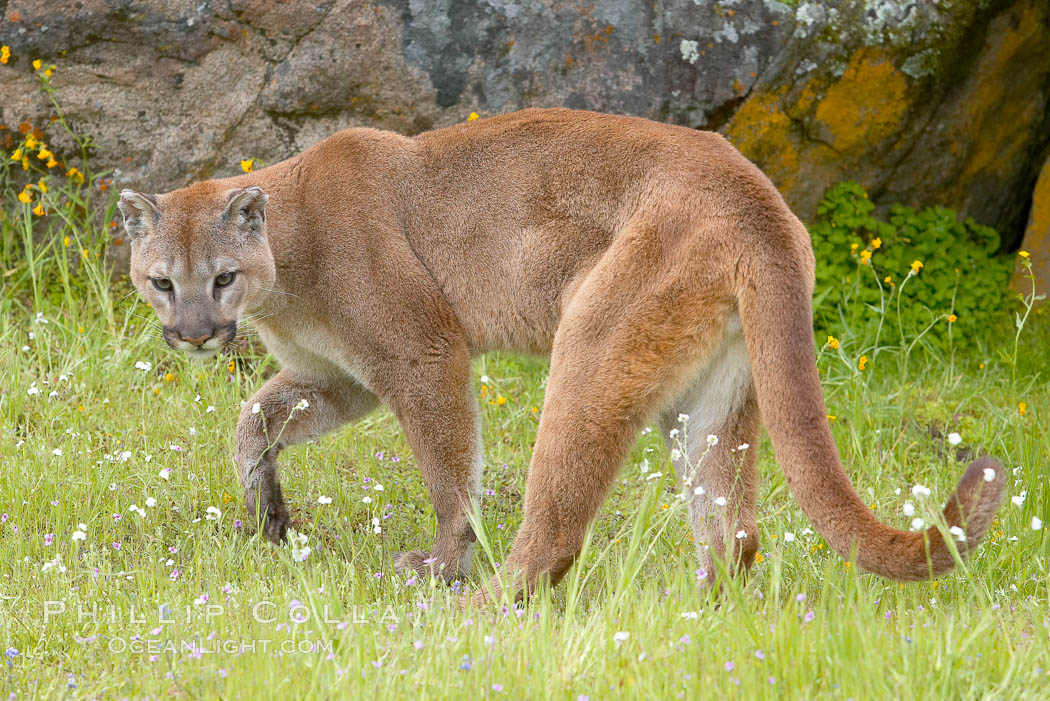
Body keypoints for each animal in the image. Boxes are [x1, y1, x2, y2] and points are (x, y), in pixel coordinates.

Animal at [119, 107, 1003, 600]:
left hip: (591, 344)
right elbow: (253, 418)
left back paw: (462, 610)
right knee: (735, 533)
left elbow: (450, 471)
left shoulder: (422, 352)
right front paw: (265, 516)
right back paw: (696, 621)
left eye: (221, 277)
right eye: (163, 282)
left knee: (554, 535)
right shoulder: (341, 379)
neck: (289, 253)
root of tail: (758, 197)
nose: (195, 332)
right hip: (712, 397)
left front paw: (442, 561)